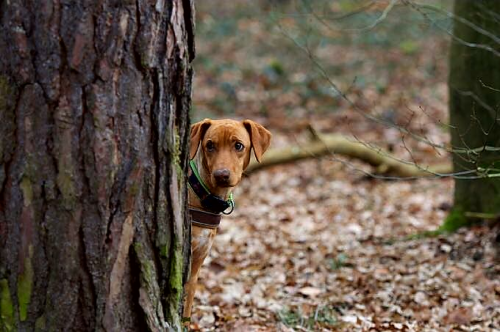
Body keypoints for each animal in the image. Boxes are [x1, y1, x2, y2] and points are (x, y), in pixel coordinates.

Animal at [183, 118, 272, 322]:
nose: (221, 175)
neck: (202, 194)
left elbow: (186, 308)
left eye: (238, 145)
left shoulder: (197, 264)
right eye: (209, 145)